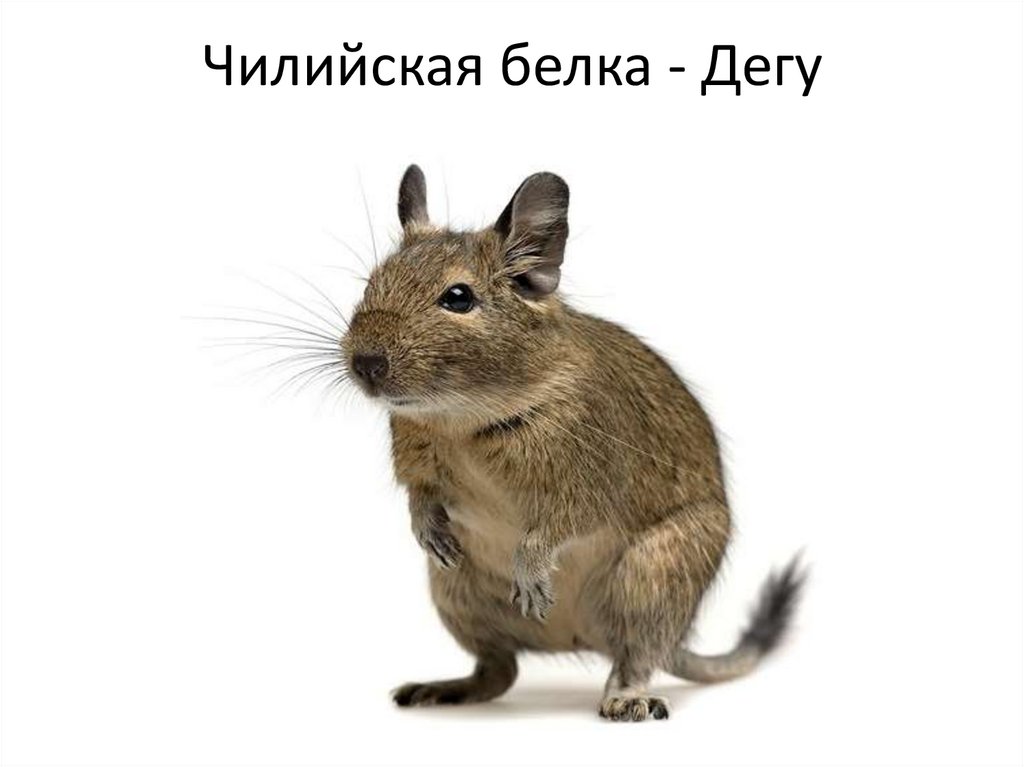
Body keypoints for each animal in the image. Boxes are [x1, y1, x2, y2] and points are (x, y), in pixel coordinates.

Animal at [341, 165, 803, 722]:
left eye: (457, 297)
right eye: (372, 281)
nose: (365, 365)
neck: (464, 418)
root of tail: (581, 638)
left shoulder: (588, 480)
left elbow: (555, 529)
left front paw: (533, 578)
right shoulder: (416, 458)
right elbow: (419, 495)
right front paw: (429, 531)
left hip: (650, 578)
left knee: (636, 656)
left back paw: (628, 696)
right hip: (455, 593)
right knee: (499, 671)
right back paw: (444, 687)